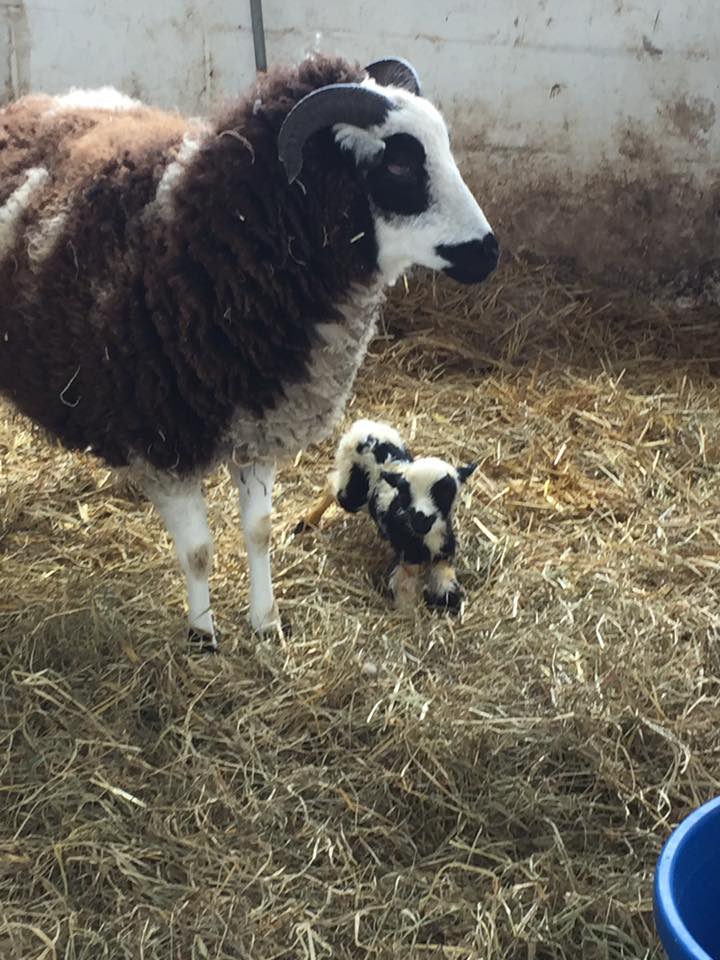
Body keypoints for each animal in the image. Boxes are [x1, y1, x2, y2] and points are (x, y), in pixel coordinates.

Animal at [0, 54, 498, 652]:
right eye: (399, 163)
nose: (489, 252)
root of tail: (24, 105)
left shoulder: (261, 428)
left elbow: (258, 532)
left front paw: (266, 623)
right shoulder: (166, 442)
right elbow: (198, 551)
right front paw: (202, 635)